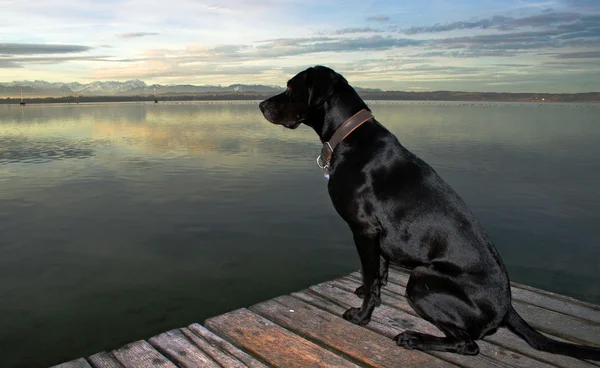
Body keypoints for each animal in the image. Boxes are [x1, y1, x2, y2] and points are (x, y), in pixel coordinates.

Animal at [258, 65, 600, 360]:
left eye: (290, 88)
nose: (260, 105)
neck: (348, 135)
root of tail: (507, 308)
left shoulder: (364, 229)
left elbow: (370, 272)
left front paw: (362, 315)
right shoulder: (376, 235)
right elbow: (378, 271)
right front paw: (368, 292)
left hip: (421, 278)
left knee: (469, 344)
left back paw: (413, 338)